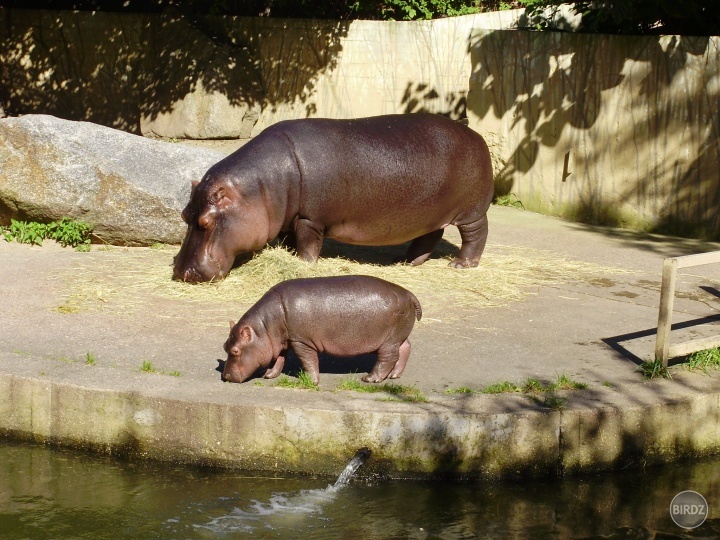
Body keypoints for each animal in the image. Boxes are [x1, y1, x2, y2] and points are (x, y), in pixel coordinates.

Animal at [173, 113, 496, 282]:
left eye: (205, 222)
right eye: (185, 215)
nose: (181, 271)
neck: (260, 187)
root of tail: (478, 137)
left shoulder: (309, 218)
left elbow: (307, 243)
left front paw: (304, 265)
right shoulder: (291, 218)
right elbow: (290, 240)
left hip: (471, 212)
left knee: (476, 235)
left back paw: (461, 265)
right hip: (429, 214)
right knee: (429, 236)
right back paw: (406, 262)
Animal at [222, 276, 420, 386]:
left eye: (235, 351)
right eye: (225, 346)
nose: (225, 376)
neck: (264, 327)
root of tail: (409, 294)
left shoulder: (301, 340)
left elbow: (308, 360)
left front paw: (311, 381)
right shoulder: (282, 341)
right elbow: (279, 358)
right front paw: (269, 375)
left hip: (389, 340)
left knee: (388, 357)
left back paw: (370, 379)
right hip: (398, 336)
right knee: (406, 347)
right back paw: (394, 375)